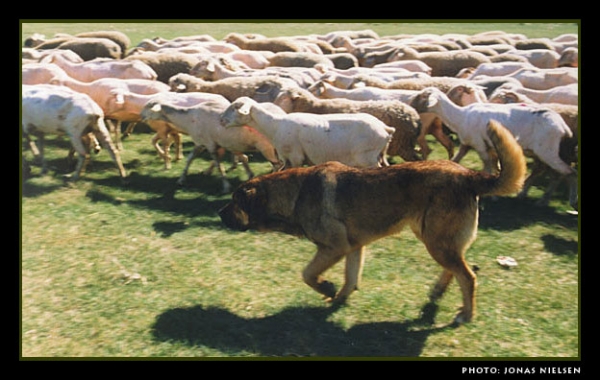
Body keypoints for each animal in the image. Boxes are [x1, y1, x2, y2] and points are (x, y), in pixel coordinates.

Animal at [139, 96, 282, 191]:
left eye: (149, 107)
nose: (141, 116)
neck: (188, 118)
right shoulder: (201, 143)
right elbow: (189, 159)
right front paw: (181, 179)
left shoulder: (210, 144)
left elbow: (219, 166)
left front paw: (226, 186)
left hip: (266, 147)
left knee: (277, 165)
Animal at [219, 96, 394, 169]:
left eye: (236, 107)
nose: (221, 120)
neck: (274, 125)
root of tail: (385, 128)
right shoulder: (287, 158)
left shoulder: (295, 156)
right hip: (375, 155)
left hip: (366, 157)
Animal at [220, 120, 524, 322]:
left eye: (235, 202)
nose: (220, 214)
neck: (293, 193)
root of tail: (469, 175)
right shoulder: (354, 247)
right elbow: (350, 277)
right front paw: (339, 299)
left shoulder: (334, 248)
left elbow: (307, 274)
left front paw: (327, 288)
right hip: (435, 239)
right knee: (456, 270)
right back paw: (438, 293)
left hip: (436, 242)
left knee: (468, 276)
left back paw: (466, 314)